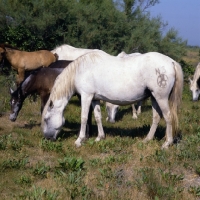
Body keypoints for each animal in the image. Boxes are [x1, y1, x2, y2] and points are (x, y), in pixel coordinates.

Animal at [41, 50, 184, 149]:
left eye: (46, 119)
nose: (47, 138)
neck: (81, 69)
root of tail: (171, 62)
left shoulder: (86, 96)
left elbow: (84, 118)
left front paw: (79, 140)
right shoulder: (95, 99)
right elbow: (97, 116)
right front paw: (99, 137)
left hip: (161, 98)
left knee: (168, 116)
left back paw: (167, 143)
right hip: (154, 97)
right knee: (156, 117)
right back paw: (147, 139)